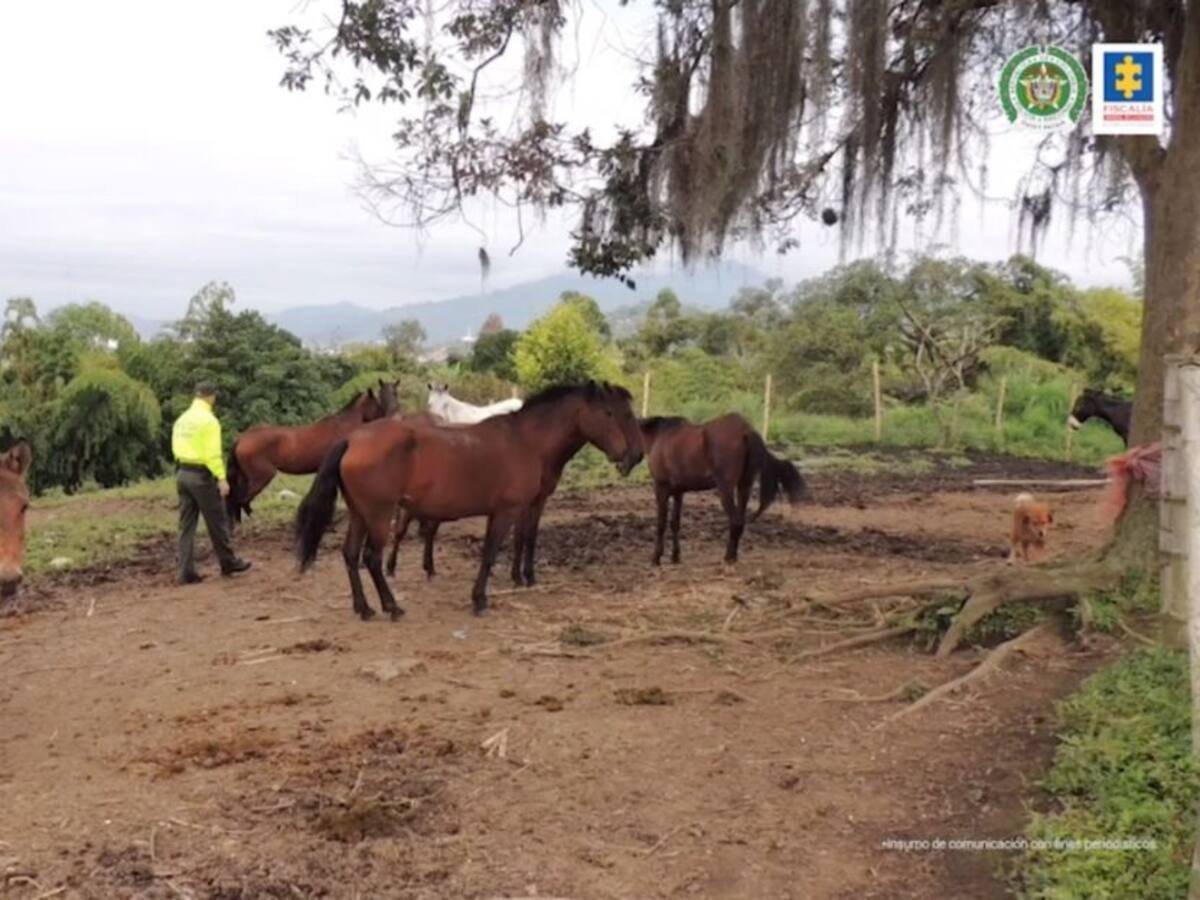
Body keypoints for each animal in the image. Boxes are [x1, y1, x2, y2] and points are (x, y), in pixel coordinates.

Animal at [225, 381, 398, 523]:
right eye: (376, 403)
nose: (388, 416)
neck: (342, 426)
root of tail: (242, 438)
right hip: (261, 477)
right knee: (243, 500)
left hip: (245, 477)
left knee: (238, 500)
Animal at [294, 382, 642, 620]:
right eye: (610, 413)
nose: (634, 456)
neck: (527, 441)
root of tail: (353, 439)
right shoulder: (506, 511)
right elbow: (490, 553)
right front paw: (479, 599)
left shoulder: (523, 507)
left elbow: (522, 540)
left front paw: (521, 578)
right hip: (379, 516)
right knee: (371, 558)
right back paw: (391, 607)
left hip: (359, 514)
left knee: (351, 555)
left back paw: (364, 608)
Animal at [639, 414, 806, 564]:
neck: (660, 435)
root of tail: (745, 430)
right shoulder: (679, 492)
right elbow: (675, 523)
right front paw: (675, 556)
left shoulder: (661, 488)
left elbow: (661, 523)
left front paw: (656, 558)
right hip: (744, 486)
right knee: (740, 522)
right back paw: (733, 556)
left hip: (725, 489)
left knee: (735, 521)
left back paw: (729, 557)